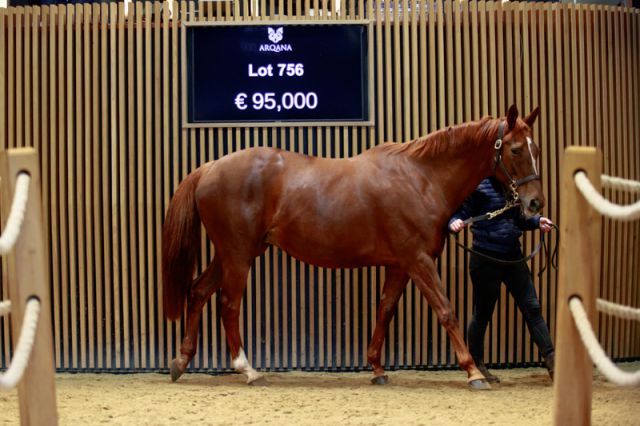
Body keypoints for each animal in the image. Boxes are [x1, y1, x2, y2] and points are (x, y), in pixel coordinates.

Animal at [162, 105, 544, 390]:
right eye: (515, 149)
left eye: (536, 148)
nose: (535, 203)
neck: (420, 178)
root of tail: (210, 167)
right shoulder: (418, 260)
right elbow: (446, 310)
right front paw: (474, 372)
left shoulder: (399, 264)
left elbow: (385, 310)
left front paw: (377, 369)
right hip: (238, 255)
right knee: (228, 305)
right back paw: (248, 370)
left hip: (232, 253)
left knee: (198, 291)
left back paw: (180, 361)